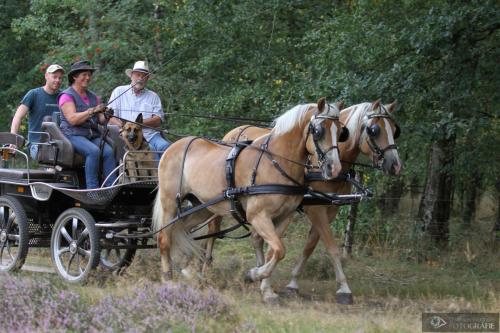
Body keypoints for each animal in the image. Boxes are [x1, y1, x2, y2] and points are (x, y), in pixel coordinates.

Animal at [152, 97, 348, 300]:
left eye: (341, 132)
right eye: (318, 131)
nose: (334, 168)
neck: (276, 162)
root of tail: (173, 146)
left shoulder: (284, 217)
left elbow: (273, 252)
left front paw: (266, 289)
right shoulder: (258, 216)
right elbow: (280, 250)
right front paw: (254, 274)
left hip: (203, 207)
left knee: (181, 231)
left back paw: (187, 270)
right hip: (169, 204)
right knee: (164, 238)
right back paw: (168, 280)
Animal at [205, 98, 400, 304]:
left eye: (395, 129)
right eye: (374, 130)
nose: (395, 165)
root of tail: (235, 131)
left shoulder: (329, 210)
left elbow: (309, 246)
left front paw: (288, 282)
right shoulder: (315, 210)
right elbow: (331, 247)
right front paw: (344, 288)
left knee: (256, 238)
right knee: (213, 228)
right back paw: (207, 265)